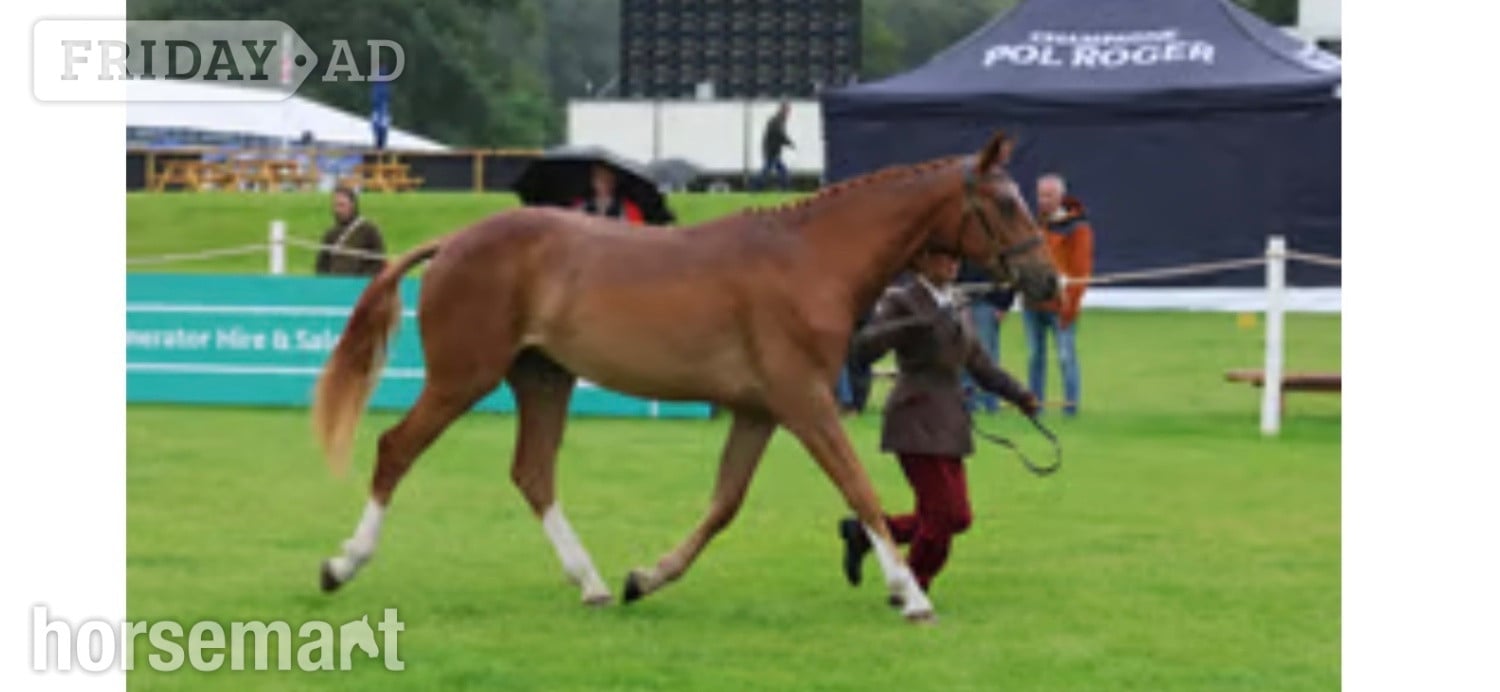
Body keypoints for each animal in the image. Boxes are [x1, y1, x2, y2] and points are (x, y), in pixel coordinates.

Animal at [311, 131, 1059, 622]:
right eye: (1005, 204)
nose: (1046, 281)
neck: (809, 259)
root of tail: (457, 241)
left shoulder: (760, 411)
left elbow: (725, 504)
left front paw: (646, 577)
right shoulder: (806, 403)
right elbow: (860, 487)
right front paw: (912, 593)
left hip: (543, 381)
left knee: (533, 473)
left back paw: (592, 583)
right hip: (463, 376)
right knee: (397, 449)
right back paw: (342, 564)